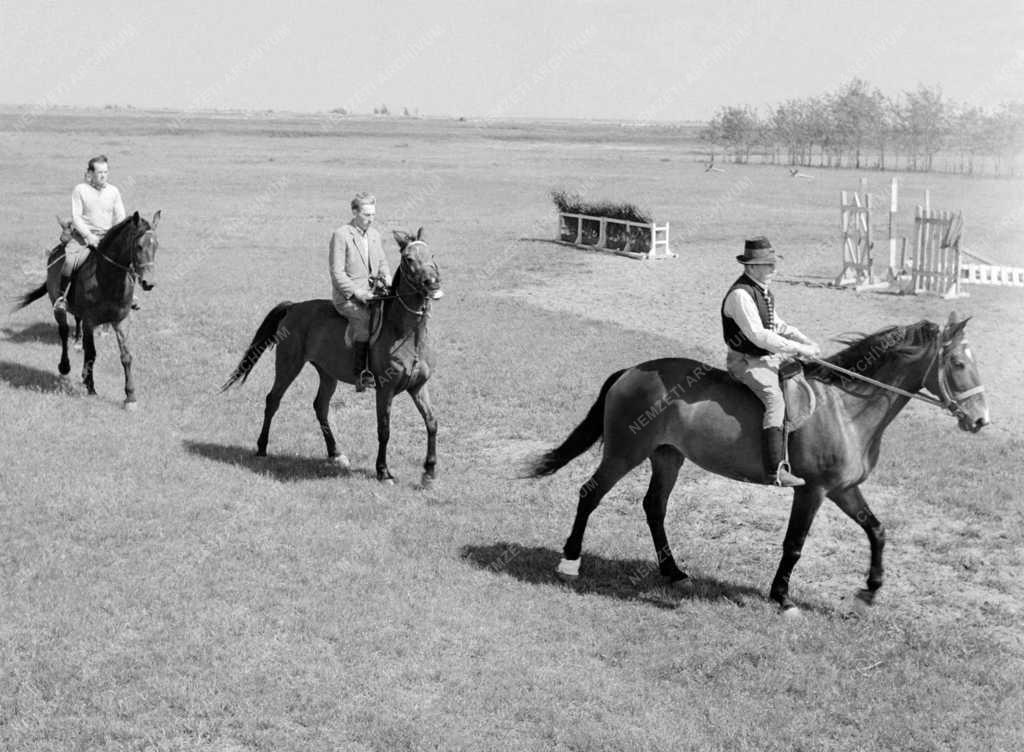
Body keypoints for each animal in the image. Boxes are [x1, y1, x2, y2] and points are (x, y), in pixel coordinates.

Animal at [16, 212, 160, 409]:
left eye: (156, 245)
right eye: (138, 246)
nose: (149, 283)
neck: (108, 278)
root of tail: (57, 249)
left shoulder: (120, 320)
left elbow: (126, 356)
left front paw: (130, 397)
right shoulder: (90, 321)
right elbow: (91, 352)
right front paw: (91, 387)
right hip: (59, 308)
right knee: (64, 332)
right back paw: (65, 366)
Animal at [222, 231, 442, 489]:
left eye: (432, 255)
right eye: (408, 258)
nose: (432, 282)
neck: (406, 333)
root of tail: (294, 307)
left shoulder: (418, 386)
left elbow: (432, 423)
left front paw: (429, 473)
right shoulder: (385, 389)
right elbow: (384, 429)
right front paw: (384, 472)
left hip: (327, 374)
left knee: (320, 406)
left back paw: (335, 453)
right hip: (288, 365)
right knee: (273, 400)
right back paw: (262, 448)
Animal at [524, 311, 987, 614]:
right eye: (958, 363)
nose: (981, 420)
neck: (847, 408)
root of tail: (633, 370)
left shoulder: (844, 489)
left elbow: (877, 530)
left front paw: (870, 590)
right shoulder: (814, 490)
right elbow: (794, 544)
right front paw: (782, 598)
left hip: (668, 457)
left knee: (654, 506)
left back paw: (673, 571)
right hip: (625, 451)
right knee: (590, 494)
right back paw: (570, 562)